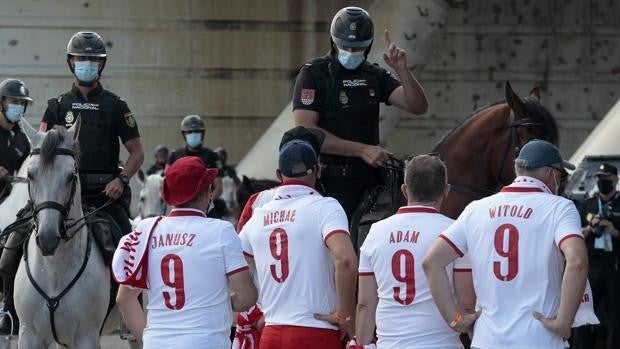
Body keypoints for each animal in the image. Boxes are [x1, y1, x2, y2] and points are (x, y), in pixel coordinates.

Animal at [13, 119, 108, 346]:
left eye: (71, 177)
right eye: (30, 175)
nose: (48, 239)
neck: (54, 269)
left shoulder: (87, 337)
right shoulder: (29, 335)